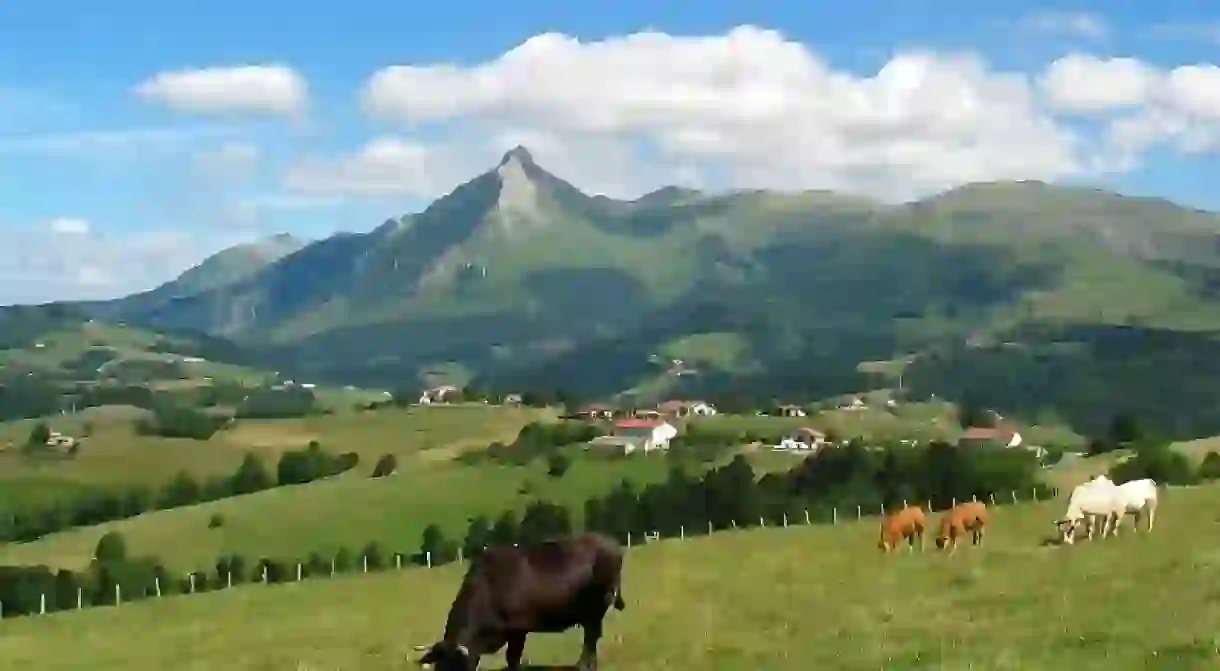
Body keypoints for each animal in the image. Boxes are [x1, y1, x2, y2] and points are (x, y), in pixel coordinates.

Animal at [417, 536, 629, 671]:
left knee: (591, 637)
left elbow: (512, 658)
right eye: (439, 668)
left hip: (596, 606)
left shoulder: (517, 628)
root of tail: (610, 542)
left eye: (455, 666)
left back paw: (583, 666)